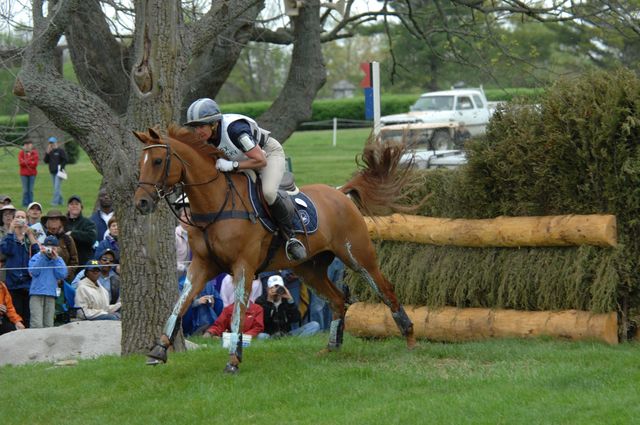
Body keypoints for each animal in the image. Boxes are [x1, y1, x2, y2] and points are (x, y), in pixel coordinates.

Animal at [132, 125, 418, 372]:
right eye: (140, 163)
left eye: (157, 161)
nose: (141, 203)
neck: (216, 204)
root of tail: (340, 192)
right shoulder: (202, 265)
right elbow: (180, 304)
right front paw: (159, 350)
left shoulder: (243, 266)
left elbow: (239, 312)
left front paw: (233, 360)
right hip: (309, 268)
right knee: (338, 299)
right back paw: (331, 348)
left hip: (356, 256)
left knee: (385, 290)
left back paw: (410, 339)